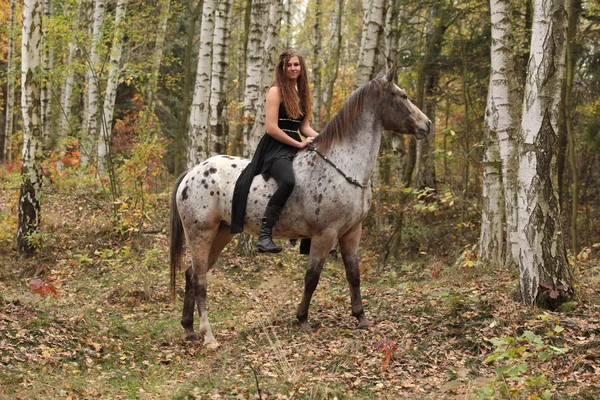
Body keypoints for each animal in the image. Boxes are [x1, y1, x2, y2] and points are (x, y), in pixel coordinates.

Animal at [170, 63, 432, 346]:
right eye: (402, 95)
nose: (427, 124)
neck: (344, 167)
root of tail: (191, 173)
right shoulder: (325, 234)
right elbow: (312, 277)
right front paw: (303, 319)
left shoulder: (352, 232)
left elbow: (353, 274)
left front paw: (361, 318)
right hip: (201, 234)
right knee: (200, 280)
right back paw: (208, 336)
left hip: (221, 234)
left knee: (191, 274)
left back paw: (189, 329)